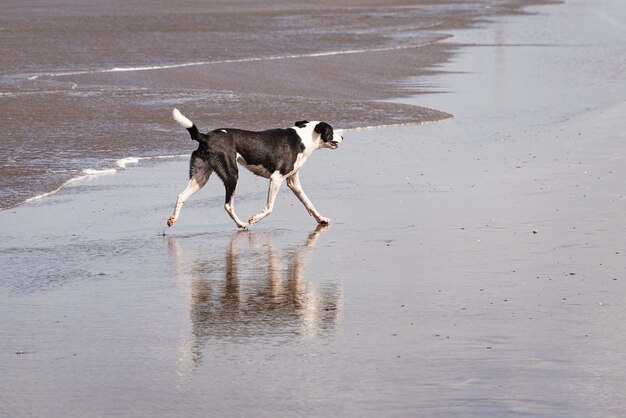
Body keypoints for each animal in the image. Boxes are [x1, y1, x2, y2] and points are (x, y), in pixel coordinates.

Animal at [166, 108, 342, 229]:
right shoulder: (276, 178)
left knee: (181, 196)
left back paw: (172, 219)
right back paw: (242, 224)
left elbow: (308, 203)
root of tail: (205, 136)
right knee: (228, 205)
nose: (342, 136)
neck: (302, 138)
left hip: (200, 177)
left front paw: (322, 219)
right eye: (332, 131)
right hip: (232, 175)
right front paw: (254, 218)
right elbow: (269, 208)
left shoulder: (293, 182)